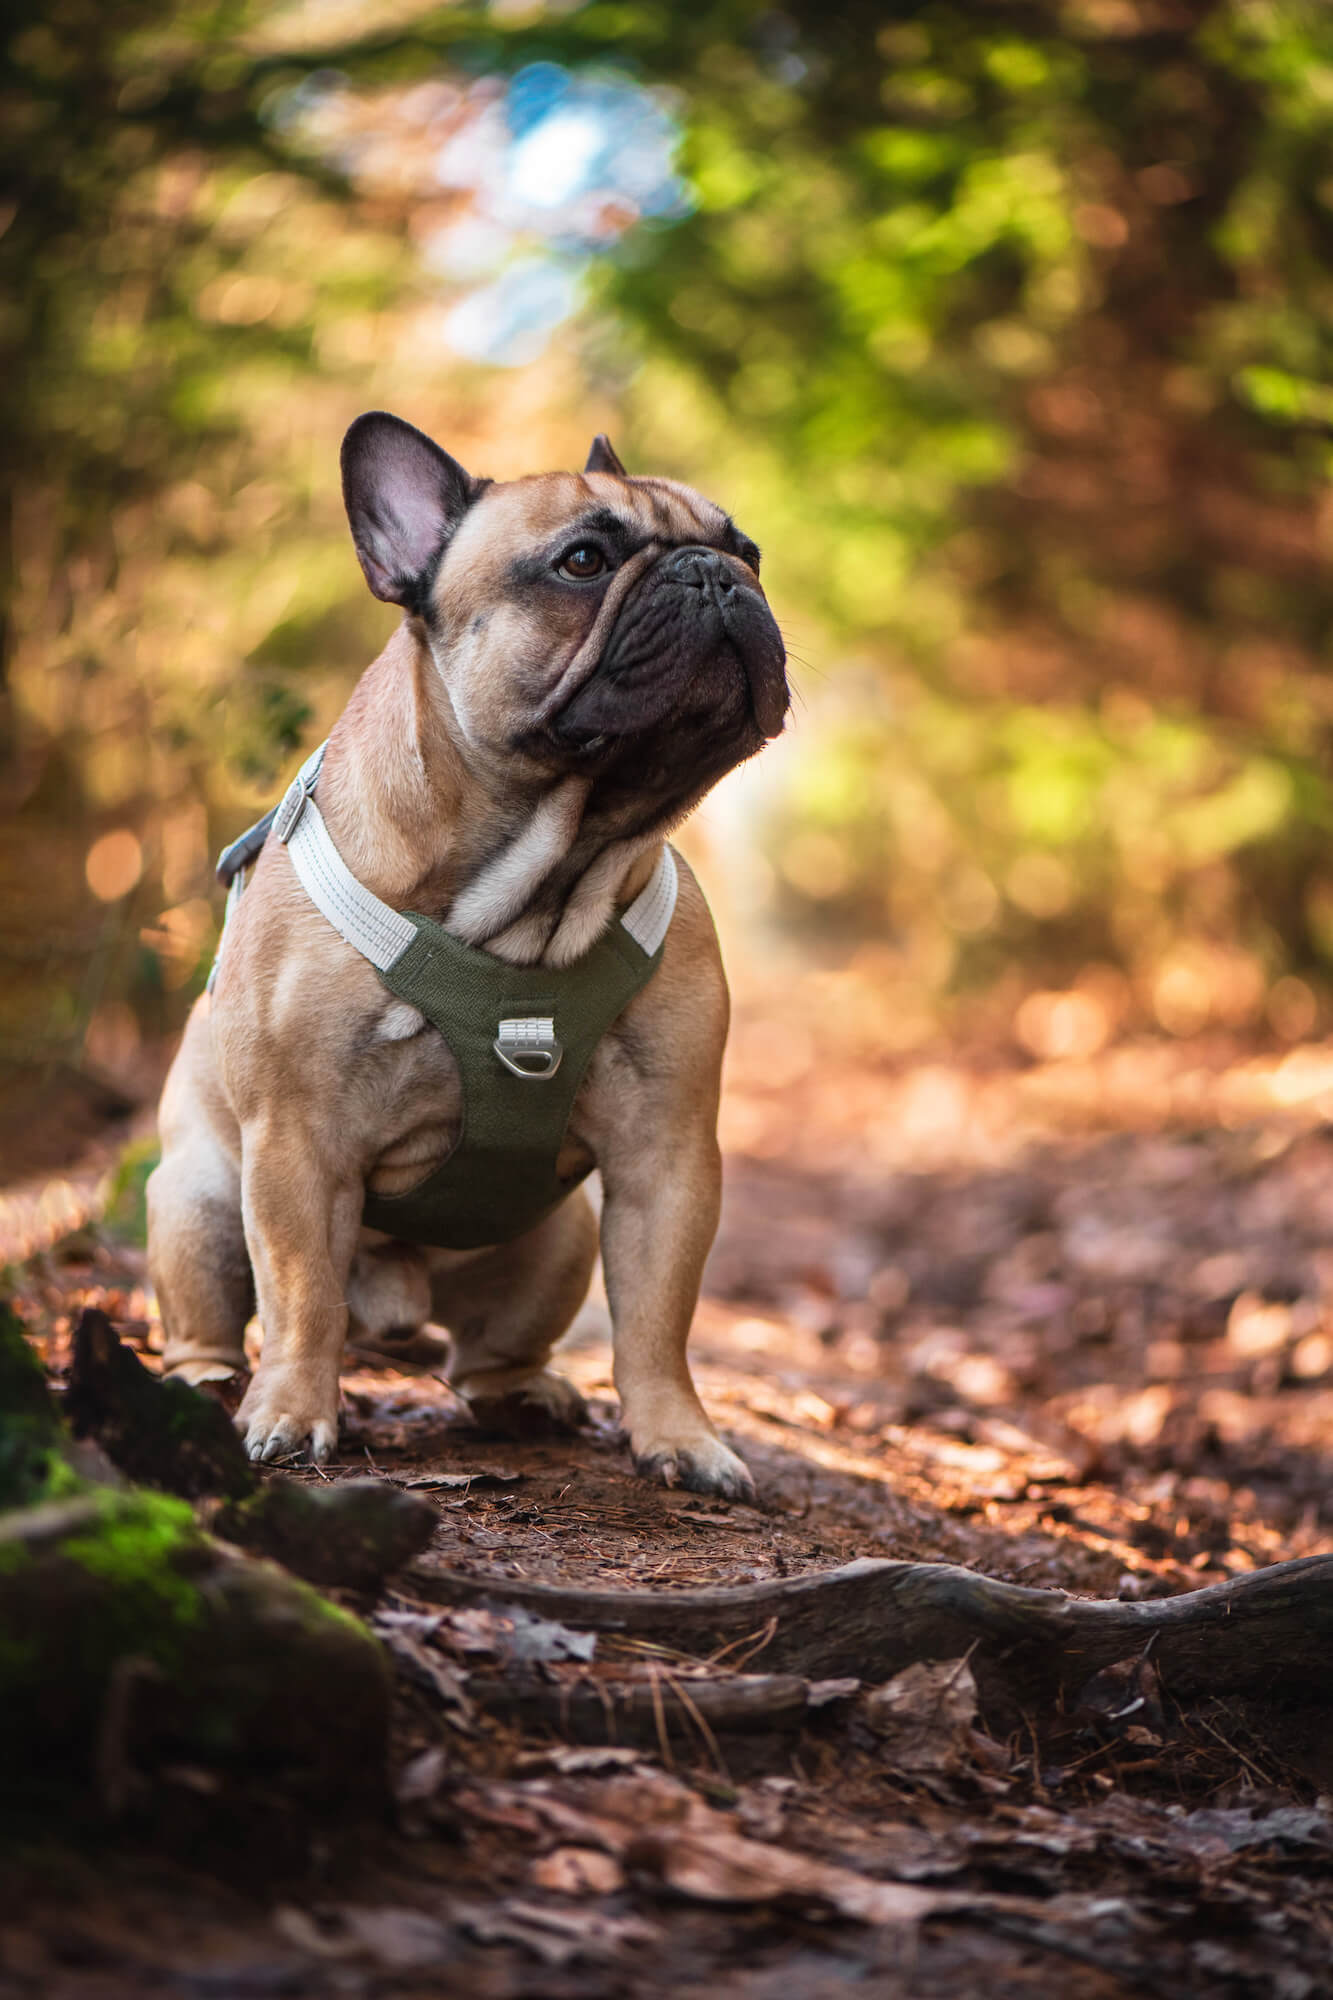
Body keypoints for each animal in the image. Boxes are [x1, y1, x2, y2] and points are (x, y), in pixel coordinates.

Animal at [145, 414, 784, 1496]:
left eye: (749, 549)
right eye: (583, 560)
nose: (714, 574)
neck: (542, 880)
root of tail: (394, 1306)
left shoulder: (667, 1151)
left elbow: (659, 1316)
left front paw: (681, 1436)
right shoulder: (297, 1143)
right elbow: (300, 1293)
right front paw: (291, 1415)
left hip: (556, 1242)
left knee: (486, 1356)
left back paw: (524, 1396)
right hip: (194, 1200)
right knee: (227, 1319)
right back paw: (209, 1383)